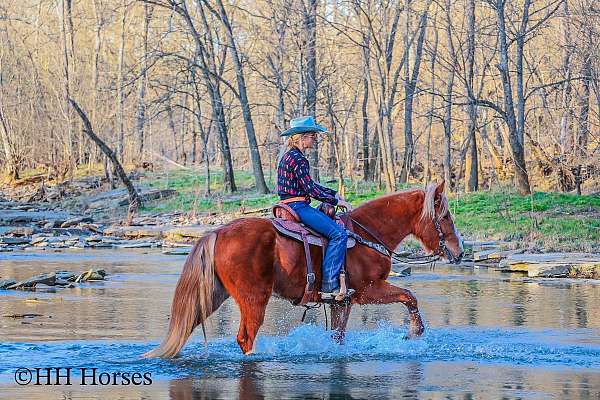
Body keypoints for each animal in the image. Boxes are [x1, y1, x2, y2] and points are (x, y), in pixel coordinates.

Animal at [145, 180, 464, 358]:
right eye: (445, 216)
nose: (459, 251)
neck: (368, 232)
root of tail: (218, 232)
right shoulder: (368, 291)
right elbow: (410, 296)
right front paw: (413, 333)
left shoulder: (343, 301)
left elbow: (338, 337)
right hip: (253, 298)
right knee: (246, 337)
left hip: (214, 295)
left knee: (189, 325)